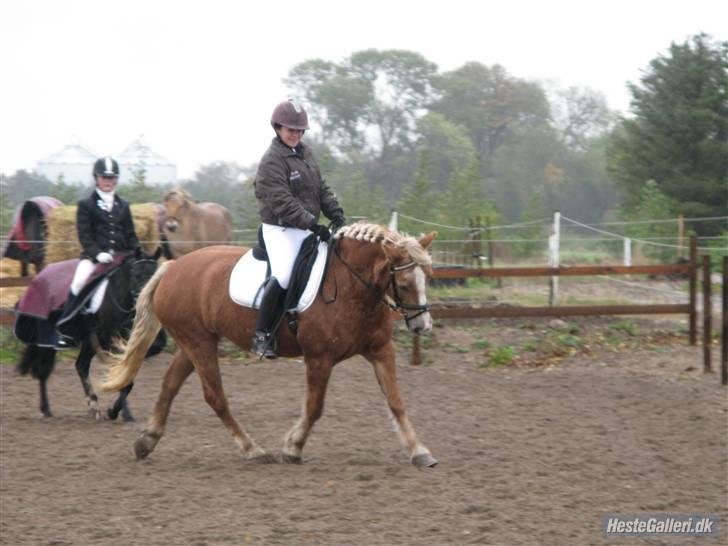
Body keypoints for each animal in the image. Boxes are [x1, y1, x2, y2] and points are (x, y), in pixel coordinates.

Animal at [16, 244, 165, 418]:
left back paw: (93, 404)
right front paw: (116, 411)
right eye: (136, 275)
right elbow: (118, 373)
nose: (146, 303)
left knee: (81, 365)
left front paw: (119, 412)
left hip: (87, 340)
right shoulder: (107, 340)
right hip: (47, 339)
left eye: (155, 275)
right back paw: (47, 409)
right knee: (44, 370)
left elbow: (126, 377)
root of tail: (39, 276)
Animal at [101, 223, 438, 466]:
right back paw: (252, 449)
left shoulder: (381, 351)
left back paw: (147, 441)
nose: (422, 326)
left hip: (194, 342)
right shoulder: (319, 357)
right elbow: (315, 407)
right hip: (199, 344)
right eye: (404, 284)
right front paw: (293, 448)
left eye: (428, 278)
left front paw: (419, 451)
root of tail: (171, 267)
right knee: (215, 396)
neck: (351, 286)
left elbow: (396, 401)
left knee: (170, 384)